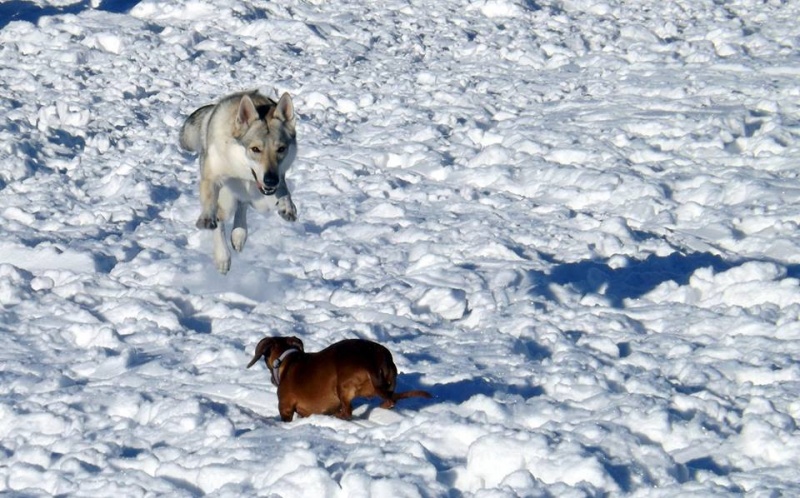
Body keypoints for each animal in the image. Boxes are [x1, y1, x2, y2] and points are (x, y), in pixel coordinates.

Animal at [245, 336, 432, 422]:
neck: (287, 360)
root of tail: (370, 361)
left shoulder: (285, 408)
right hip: (390, 380)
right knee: (390, 401)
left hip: (342, 386)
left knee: (348, 412)